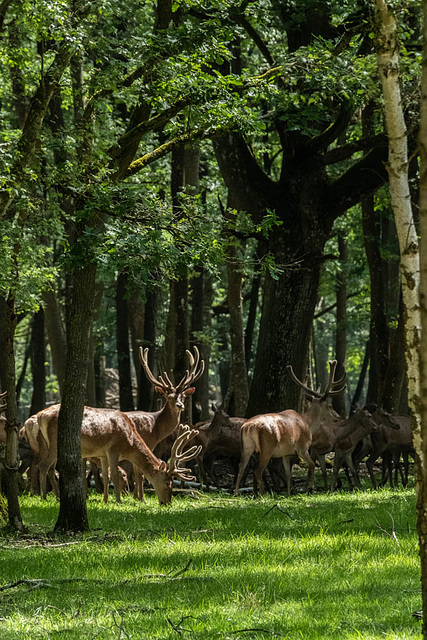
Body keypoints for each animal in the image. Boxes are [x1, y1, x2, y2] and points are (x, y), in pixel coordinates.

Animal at [28, 404, 202, 504]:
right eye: (168, 483)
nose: (167, 503)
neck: (129, 442)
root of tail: (41, 416)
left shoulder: (102, 454)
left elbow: (105, 476)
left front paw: (105, 500)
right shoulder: (113, 450)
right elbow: (115, 476)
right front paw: (118, 500)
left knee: (47, 467)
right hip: (54, 444)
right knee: (43, 466)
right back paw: (43, 497)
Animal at [125, 344, 206, 500]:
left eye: (183, 396)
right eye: (169, 397)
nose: (180, 405)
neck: (155, 428)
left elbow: (138, 471)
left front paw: (136, 497)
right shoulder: (147, 442)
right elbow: (140, 472)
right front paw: (141, 498)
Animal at [234, 360, 348, 496]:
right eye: (330, 406)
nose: (339, 417)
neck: (308, 424)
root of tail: (248, 426)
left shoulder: (286, 454)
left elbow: (289, 475)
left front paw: (289, 493)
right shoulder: (302, 448)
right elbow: (311, 466)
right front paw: (310, 488)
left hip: (246, 447)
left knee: (241, 466)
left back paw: (236, 493)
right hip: (267, 447)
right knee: (257, 470)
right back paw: (262, 494)